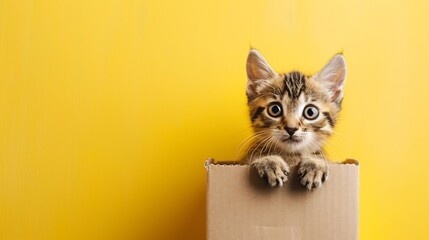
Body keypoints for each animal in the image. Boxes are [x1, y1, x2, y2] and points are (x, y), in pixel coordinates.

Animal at [242, 49, 346, 190]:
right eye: (275, 109)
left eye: (310, 112)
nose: (291, 128)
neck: (292, 156)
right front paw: (269, 161)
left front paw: (315, 163)